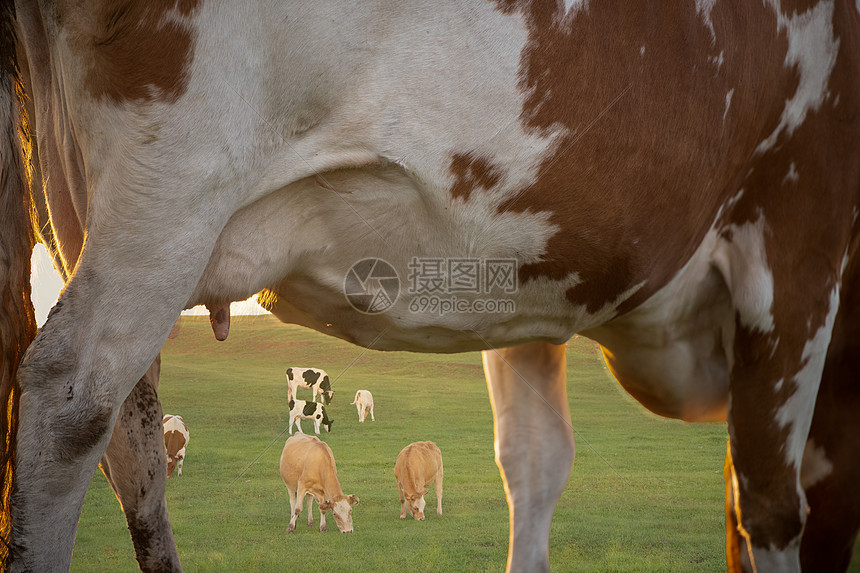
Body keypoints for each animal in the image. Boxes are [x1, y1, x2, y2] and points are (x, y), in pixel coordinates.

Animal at [1, 1, 860, 572]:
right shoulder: (802, 240)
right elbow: (769, 501)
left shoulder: (529, 279)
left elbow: (533, 466)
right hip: (172, 183)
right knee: (72, 401)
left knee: (134, 440)